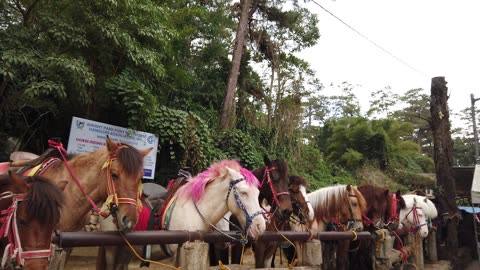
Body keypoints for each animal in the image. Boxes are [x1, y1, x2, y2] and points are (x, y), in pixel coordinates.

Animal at [95, 159, 264, 268]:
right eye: (243, 193)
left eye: (258, 193)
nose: (260, 226)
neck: (194, 211)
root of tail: (107, 204)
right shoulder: (181, 252)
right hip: (112, 250)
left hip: (126, 250)